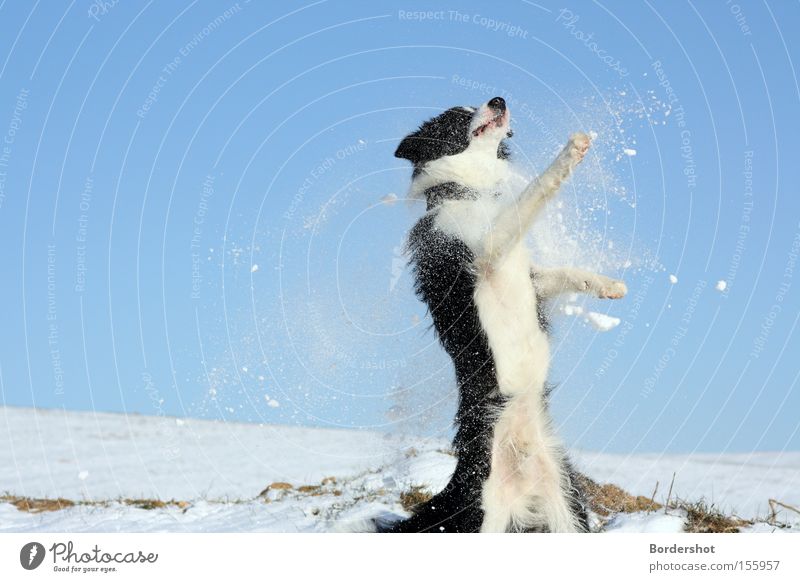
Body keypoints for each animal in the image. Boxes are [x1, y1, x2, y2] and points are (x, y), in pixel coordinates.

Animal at [378, 98, 628, 536]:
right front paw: (570, 152)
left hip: (567, 504)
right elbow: (530, 196)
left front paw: (607, 284)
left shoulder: (532, 278)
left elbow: (563, 272)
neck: (470, 192)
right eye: (459, 115)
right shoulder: (487, 252)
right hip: (484, 514)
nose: (499, 100)